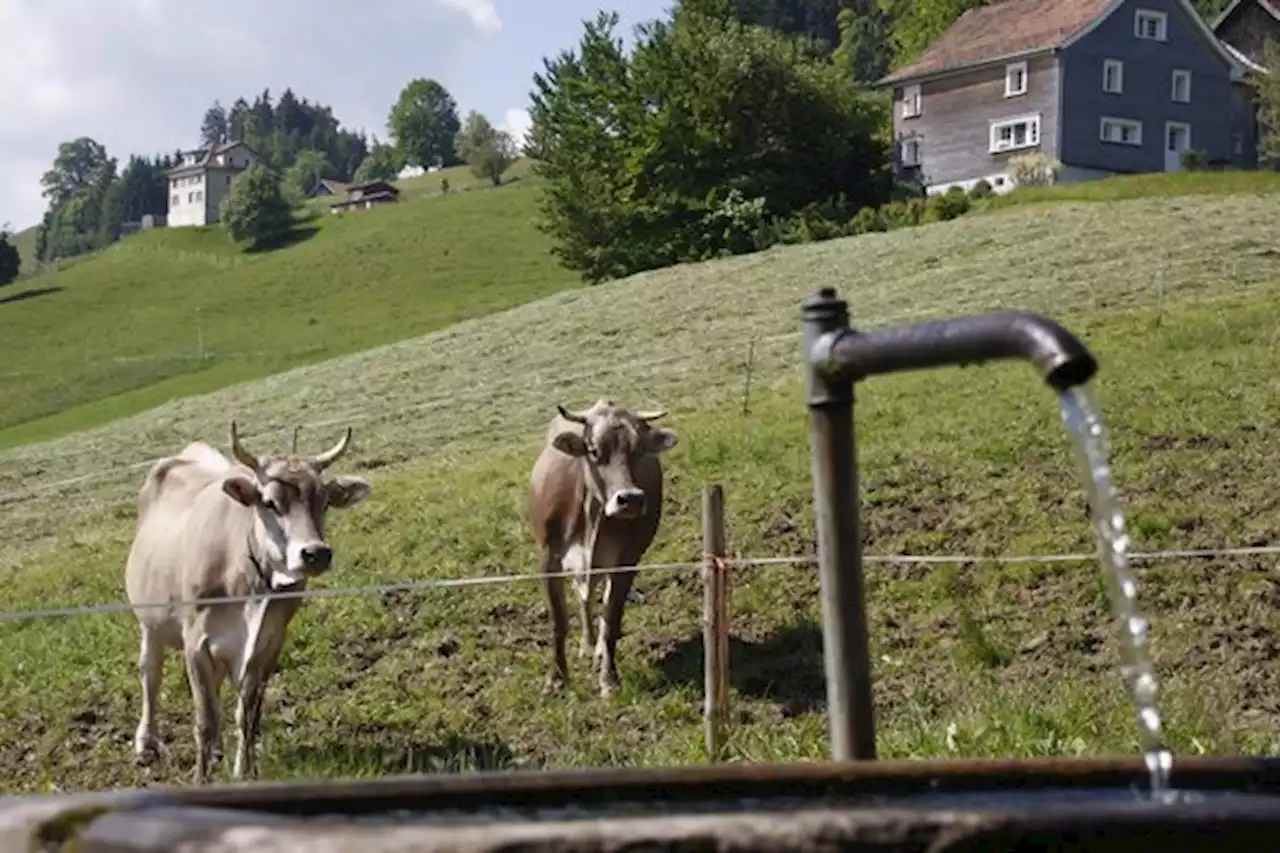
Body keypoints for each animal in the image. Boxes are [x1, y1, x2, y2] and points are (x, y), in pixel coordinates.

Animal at [123, 417, 371, 778]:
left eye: (324, 501)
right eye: (269, 502)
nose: (315, 553)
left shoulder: (268, 645)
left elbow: (247, 716)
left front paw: (244, 771)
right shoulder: (196, 642)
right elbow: (205, 721)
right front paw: (201, 777)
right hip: (150, 620)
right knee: (150, 674)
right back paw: (146, 741)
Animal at [524, 397, 680, 691]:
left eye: (639, 449)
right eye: (594, 450)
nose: (630, 499)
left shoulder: (627, 562)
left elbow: (612, 619)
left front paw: (609, 678)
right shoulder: (549, 558)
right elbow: (559, 620)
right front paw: (556, 678)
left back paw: (595, 650)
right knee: (583, 597)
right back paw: (586, 645)